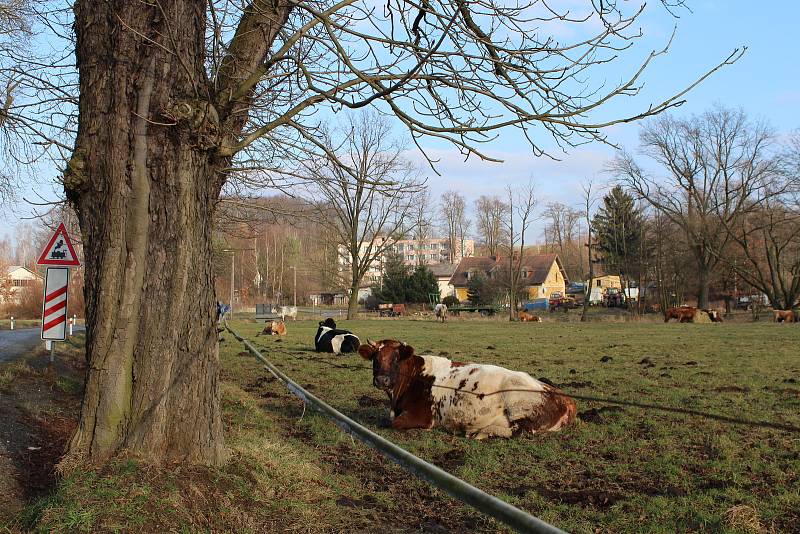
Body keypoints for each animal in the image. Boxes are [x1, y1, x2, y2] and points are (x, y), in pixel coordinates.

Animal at [358, 344, 576, 440]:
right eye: (375, 359)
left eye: (396, 359)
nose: (381, 380)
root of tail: (567, 399)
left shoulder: (424, 416)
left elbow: (394, 423)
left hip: (519, 404)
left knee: (518, 431)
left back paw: (481, 432)